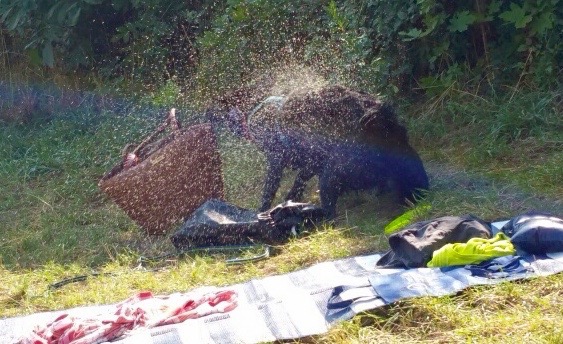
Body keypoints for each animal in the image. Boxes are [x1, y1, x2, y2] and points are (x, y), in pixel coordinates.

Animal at [207, 84, 428, 218]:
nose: (206, 113)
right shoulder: (310, 163)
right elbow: (298, 182)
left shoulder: (276, 161)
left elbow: (269, 189)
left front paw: (263, 210)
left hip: (332, 173)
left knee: (329, 208)